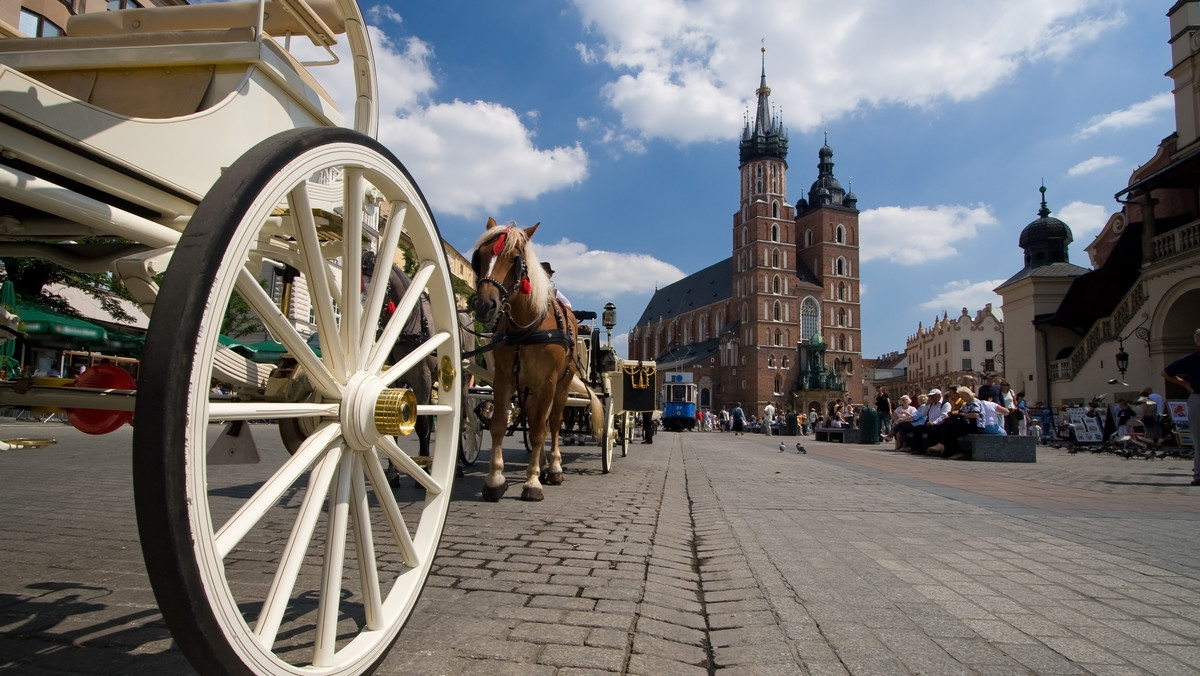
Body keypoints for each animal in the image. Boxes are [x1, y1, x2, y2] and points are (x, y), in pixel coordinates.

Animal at [468, 218, 600, 501]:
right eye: (479, 257)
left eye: (515, 259)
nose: (484, 306)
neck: (526, 328)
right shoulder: (503, 379)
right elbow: (498, 425)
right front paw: (495, 480)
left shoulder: (548, 383)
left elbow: (542, 429)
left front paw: (533, 482)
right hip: (528, 388)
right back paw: (540, 464)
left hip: (562, 385)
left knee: (554, 424)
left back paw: (553, 468)